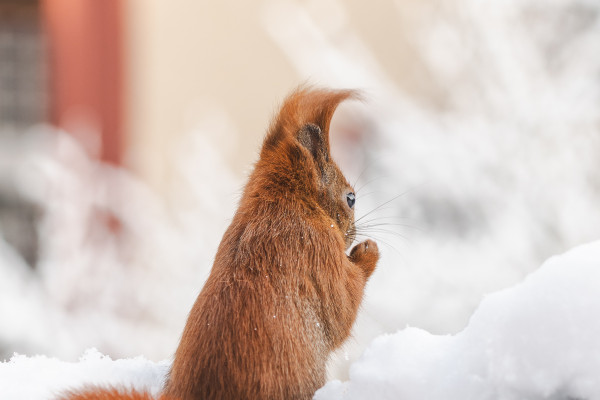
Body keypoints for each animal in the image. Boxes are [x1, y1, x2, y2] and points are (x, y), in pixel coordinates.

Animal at [62, 87, 380, 400]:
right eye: (351, 198)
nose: (352, 234)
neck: (286, 204)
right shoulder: (319, 252)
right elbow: (343, 308)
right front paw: (368, 251)